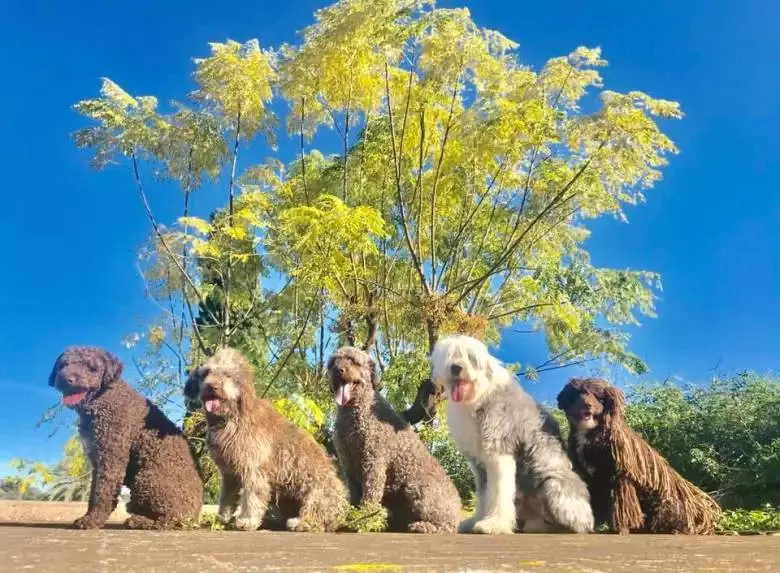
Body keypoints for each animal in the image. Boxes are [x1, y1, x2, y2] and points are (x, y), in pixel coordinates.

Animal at [47, 344, 203, 528]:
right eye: (63, 365)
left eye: (92, 368)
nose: (66, 379)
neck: (104, 398)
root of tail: (196, 514)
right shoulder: (97, 459)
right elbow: (93, 492)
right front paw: (89, 516)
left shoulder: (111, 456)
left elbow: (103, 491)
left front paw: (93, 519)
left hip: (146, 480)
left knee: (171, 520)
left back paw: (141, 522)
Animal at [184, 348, 346, 532]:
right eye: (206, 373)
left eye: (228, 375)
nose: (212, 386)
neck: (233, 418)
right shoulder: (229, 474)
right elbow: (226, 499)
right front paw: (221, 520)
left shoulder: (253, 470)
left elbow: (252, 496)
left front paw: (247, 520)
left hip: (316, 492)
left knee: (317, 516)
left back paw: (301, 522)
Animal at [326, 346, 460, 536]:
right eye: (332, 363)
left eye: (353, 361)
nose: (338, 370)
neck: (355, 414)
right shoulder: (349, 467)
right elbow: (354, 497)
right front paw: (350, 518)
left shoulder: (373, 463)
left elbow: (370, 496)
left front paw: (363, 521)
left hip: (417, 489)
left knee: (447, 527)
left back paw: (422, 526)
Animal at [432, 332, 592, 536]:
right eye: (450, 354)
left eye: (471, 357)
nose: (456, 367)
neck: (478, 396)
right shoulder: (479, 463)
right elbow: (483, 494)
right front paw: (476, 520)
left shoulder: (499, 451)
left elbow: (499, 491)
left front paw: (493, 524)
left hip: (552, 485)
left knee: (573, 525)